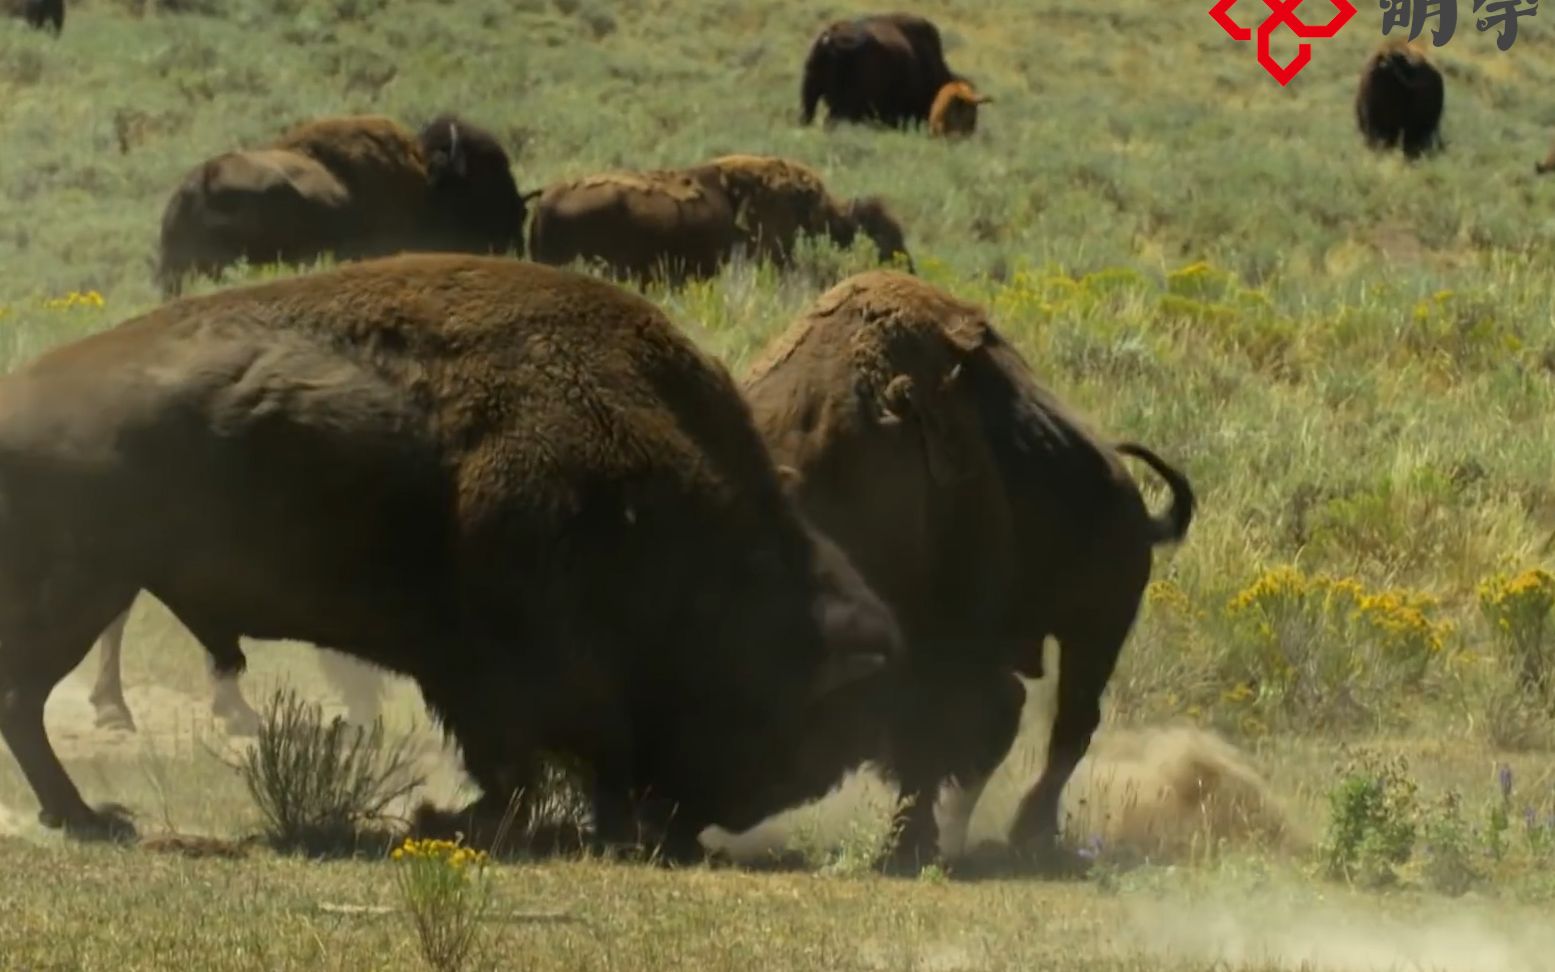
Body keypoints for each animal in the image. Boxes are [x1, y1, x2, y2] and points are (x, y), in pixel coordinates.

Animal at [0, 251, 901, 858]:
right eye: (793, 720)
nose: (708, 821)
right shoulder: (497, 676)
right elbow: (521, 767)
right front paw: (448, 819)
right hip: (78, 593)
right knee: (22, 698)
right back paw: (88, 817)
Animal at [737, 269, 1188, 870]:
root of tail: (1134, 505)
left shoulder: (945, 652)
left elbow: (934, 737)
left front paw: (906, 847)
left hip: (1096, 631)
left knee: (1067, 724)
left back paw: (1026, 832)